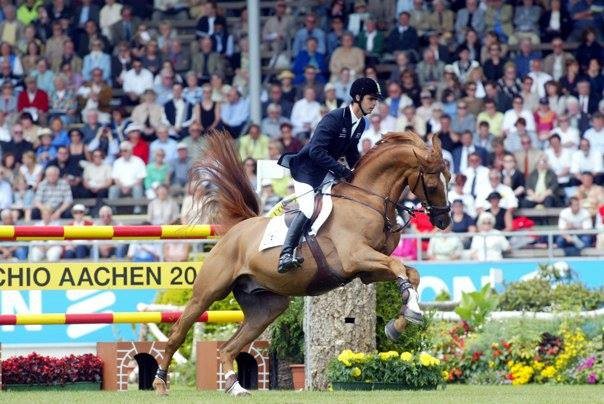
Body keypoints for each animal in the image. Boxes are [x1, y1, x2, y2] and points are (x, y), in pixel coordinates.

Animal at [153, 130, 451, 396]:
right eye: (433, 185)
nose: (444, 220)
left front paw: (401, 321)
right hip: (208, 293)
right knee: (179, 332)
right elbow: (401, 268)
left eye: (449, 178)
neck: (367, 200)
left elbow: (410, 273)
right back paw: (160, 383)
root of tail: (236, 231)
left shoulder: (367, 271)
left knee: (229, 348)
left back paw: (235, 388)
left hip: (266, 308)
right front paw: (411, 313)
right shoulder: (356, 256)